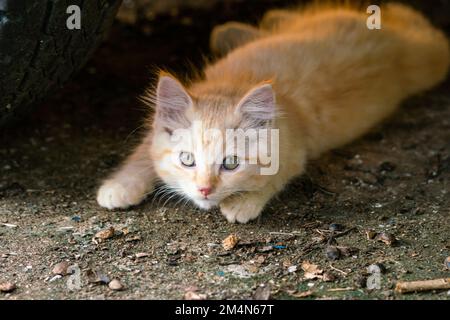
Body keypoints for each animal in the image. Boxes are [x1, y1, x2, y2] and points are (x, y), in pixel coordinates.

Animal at [96, 3, 448, 222]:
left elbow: (275, 175)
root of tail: (392, 37)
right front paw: (120, 186)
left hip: (430, 59)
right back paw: (233, 29)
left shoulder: (294, 147)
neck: (234, 85)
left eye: (230, 163)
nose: (204, 190)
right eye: (187, 160)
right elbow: (141, 155)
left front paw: (242, 202)